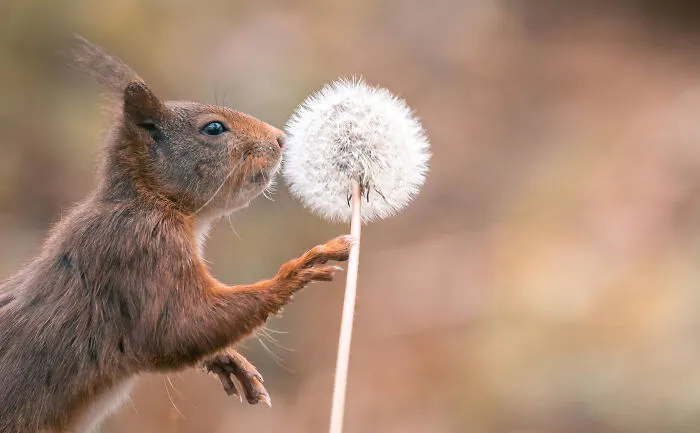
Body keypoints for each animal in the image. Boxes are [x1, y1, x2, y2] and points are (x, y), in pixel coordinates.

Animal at [0, 36, 352, 433]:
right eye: (213, 129)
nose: (281, 139)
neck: (150, 200)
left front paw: (227, 359)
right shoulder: (139, 251)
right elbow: (178, 329)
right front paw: (300, 269)